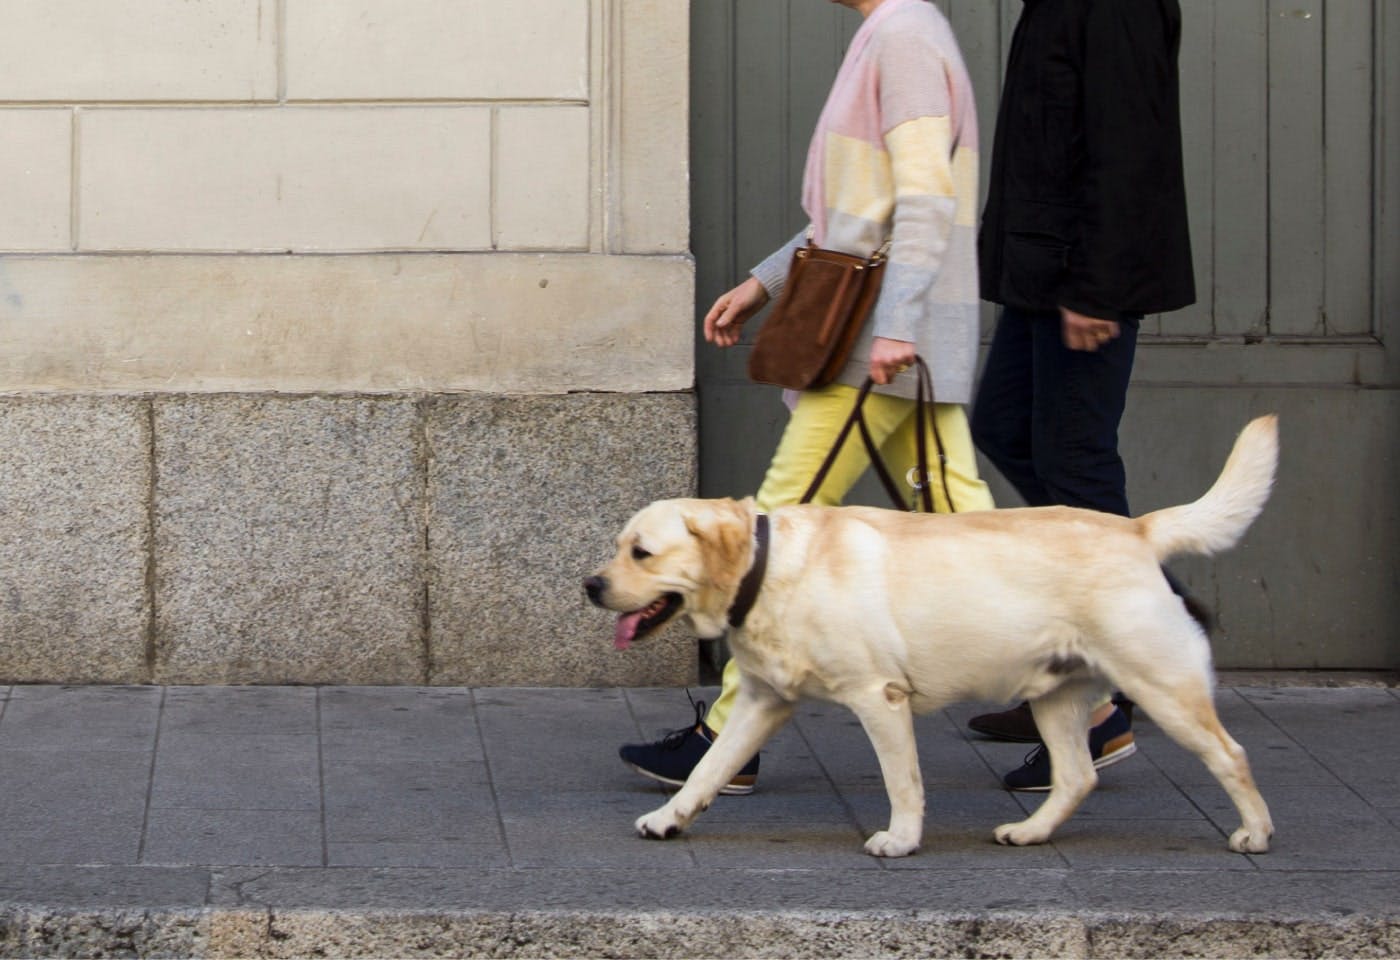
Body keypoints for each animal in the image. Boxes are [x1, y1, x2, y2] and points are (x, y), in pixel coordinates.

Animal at [585, 414, 1276, 856]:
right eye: (619, 546)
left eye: (641, 553)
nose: (590, 585)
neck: (768, 569)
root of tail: (1137, 529)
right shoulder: (762, 701)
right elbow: (708, 768)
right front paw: (670, 818)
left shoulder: (879, 698)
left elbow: (903, 782)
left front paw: (901, 839)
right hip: (1054, 696)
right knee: (1078, 776)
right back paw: (1030, 832)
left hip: (1162, 685)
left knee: (1233, 754)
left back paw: (1256, 834)